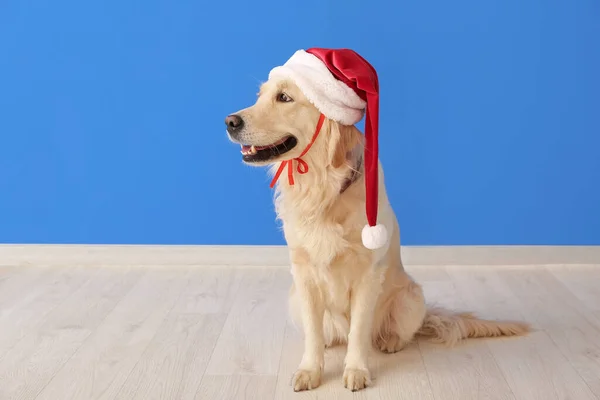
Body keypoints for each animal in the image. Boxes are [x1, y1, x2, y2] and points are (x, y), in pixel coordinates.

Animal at [226, 68, 528, 390]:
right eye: (260, 96)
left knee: (396, 331)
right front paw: (310, 369)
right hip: (294, 297)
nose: (229, 121)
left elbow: (359, 330)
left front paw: (356, 370)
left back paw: (391, 340)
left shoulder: (367, 275)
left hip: (411, 297)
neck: (323, 190)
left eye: (284, 97)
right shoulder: (303, 273)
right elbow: (313, 332)